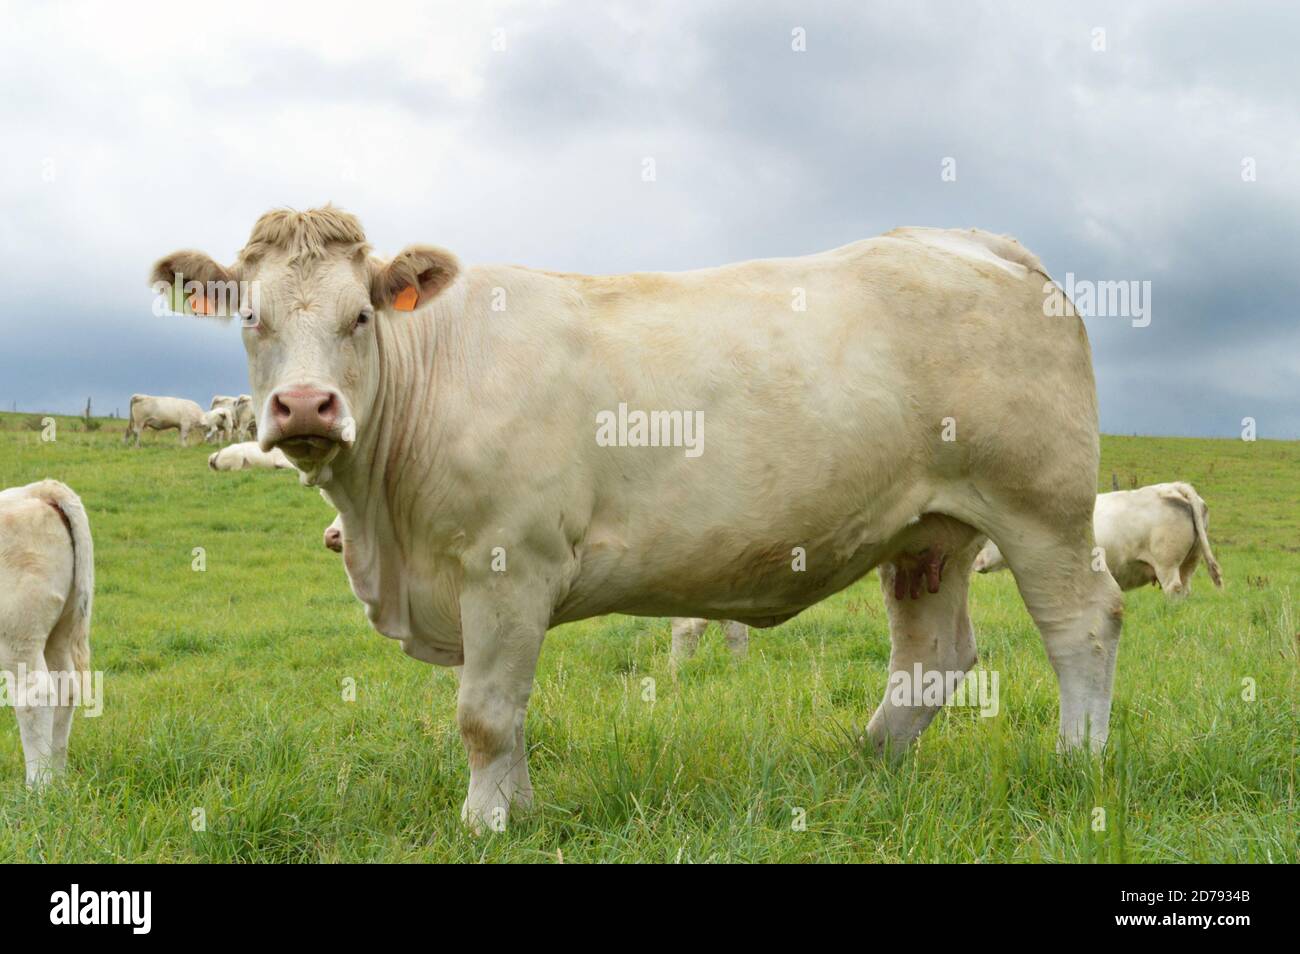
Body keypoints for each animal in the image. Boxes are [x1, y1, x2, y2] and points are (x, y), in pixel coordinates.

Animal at [0, 480, 93, 786]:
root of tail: (38, 490)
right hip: (61, 630)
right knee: (65, 689)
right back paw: (58, 780)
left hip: (18, 635)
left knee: (35, 695)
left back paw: (38, 786)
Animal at [152, 206, 1123, 831]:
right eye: (251, 317)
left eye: (359, 316)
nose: (305, 407)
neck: (386, 539)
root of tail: (976, 242)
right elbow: (510, 713)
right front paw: (519, 809)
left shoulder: (508, 562)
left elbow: (486, 713)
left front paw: (484, 823)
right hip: (929, 530)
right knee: (934, 656)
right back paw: (869, 762)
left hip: (1042, 507)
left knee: (1083, 624)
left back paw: (1079, 761)